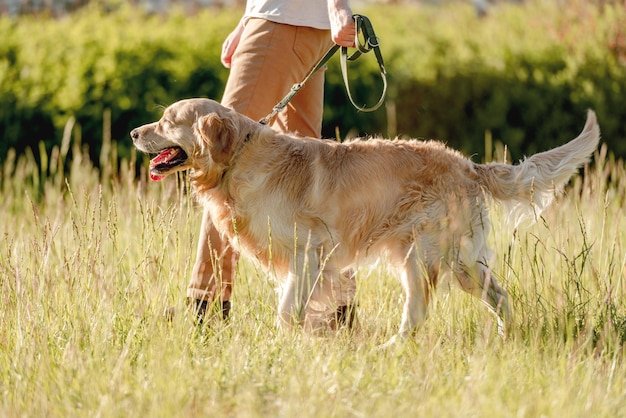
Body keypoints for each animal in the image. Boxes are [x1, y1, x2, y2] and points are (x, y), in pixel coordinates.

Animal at [129, 98, 596, 342]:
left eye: (168, 121)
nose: (134, 132)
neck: (239, 159)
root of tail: (469, 165)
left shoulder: (309, 251)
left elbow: (287, 310)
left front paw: (284, 344)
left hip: (425, 255)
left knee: (419, 310)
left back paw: (393, 346)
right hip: (461, 262)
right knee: (500, 297)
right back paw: (503, 337)